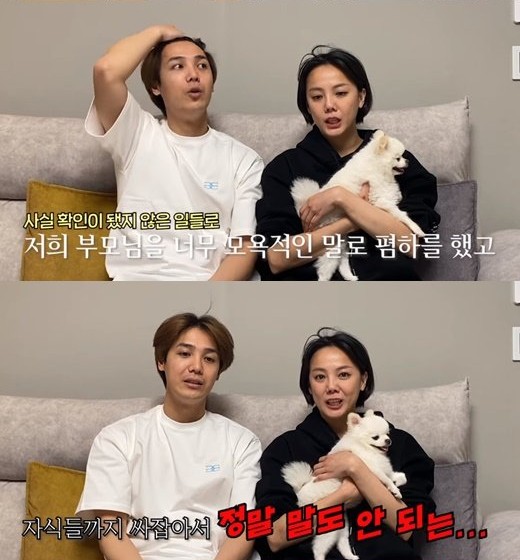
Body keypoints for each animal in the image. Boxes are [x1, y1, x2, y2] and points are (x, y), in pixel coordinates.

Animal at [281, 410, 407, 560]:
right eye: (375, 437)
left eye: (387, 434)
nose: (388, 440)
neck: (365, 448)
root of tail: (300, 495)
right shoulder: (371, 469)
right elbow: (385, 479)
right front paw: (394, 490)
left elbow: (394, 476)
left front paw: (399, 479)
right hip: (327, 528)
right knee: (318, 548)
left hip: (342, 526)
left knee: (342, 543)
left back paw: (351, 556)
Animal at [291, 130, 425, 281]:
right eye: (398, 158)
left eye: (402, 157)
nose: (407, 161)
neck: (376, 165)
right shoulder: (379, 199)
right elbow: (402, 215)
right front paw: (417, 229)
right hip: (331, 242)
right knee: (324, 271)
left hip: (341, 240)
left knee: (342, 262)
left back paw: (351, 277)